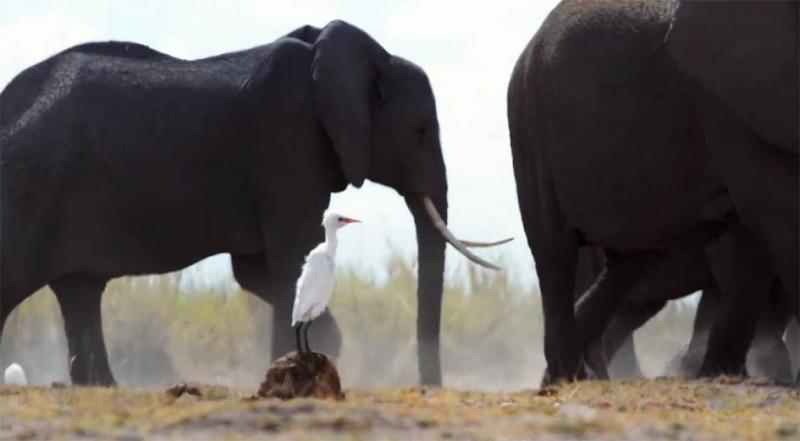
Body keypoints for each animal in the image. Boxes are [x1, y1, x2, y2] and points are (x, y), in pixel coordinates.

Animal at [0, 20, 510, 384]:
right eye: (421, 130)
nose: (429, 387)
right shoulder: (287, 140)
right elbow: (289, 258)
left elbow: (255, 272)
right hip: (29, 191)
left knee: (80, 291)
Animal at [510, 0, 796, 384]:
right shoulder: (726, 106)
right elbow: (776, 210)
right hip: (529, 126)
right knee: (555, 255)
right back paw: (570, 378)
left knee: (629, 265)